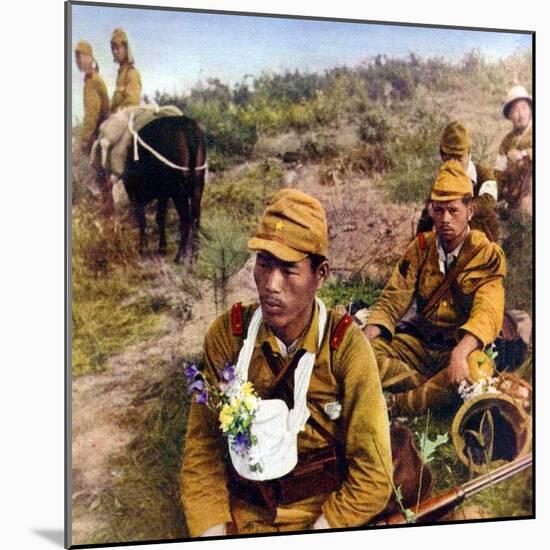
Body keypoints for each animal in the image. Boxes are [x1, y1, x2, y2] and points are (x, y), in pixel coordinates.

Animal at [124, 115, 208, 264]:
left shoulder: (148, 194)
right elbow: (160, 217)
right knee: (196, 217)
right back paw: (194, 256)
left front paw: (147, 248)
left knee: (186, 218)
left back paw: (180, 256)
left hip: (179, 189)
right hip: (197, 184)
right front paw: (162, 247)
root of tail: (189, 129)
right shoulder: (163, 193)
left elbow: (147, 218)